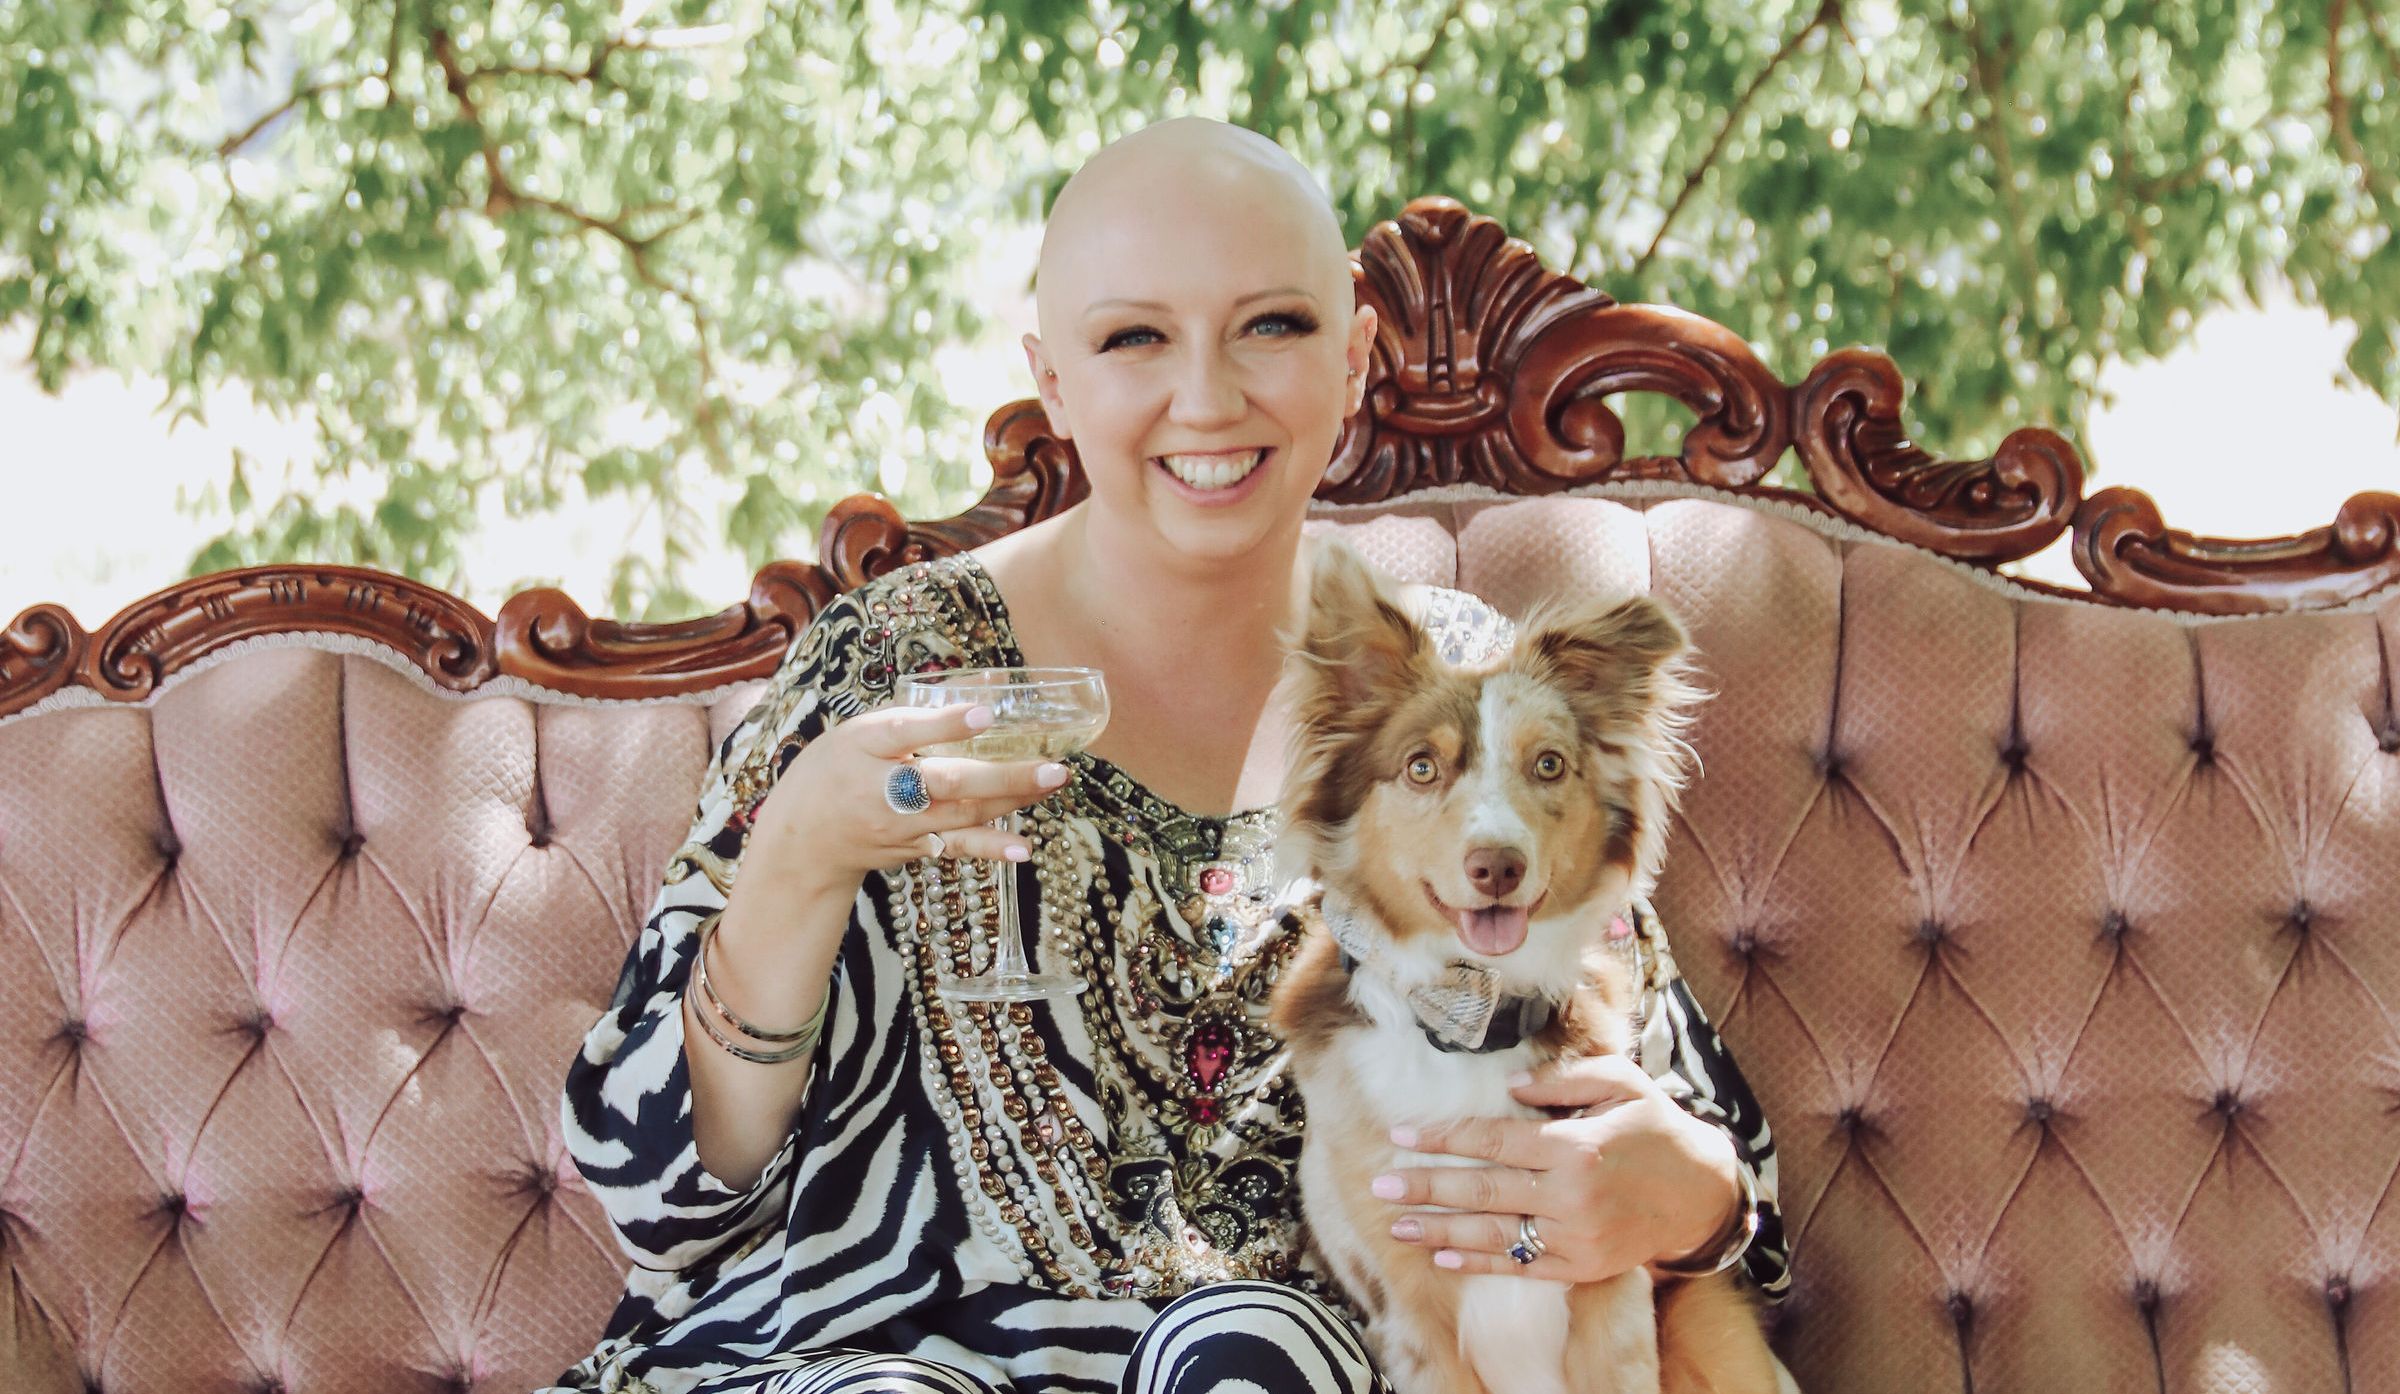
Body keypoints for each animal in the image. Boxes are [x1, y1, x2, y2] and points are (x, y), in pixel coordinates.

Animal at [1268, 543, 1778, 1394]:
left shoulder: (1613, 1296)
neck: (1472, 1022)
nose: (1497, 866)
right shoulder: (1408, 1313)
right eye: (1421, 767)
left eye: (1548, 764)